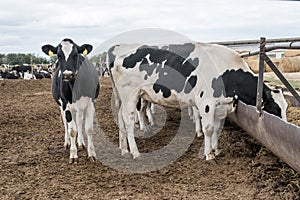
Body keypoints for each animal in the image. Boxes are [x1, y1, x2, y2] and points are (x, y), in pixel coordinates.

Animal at [106, 42, 288, 162]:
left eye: (286, 107)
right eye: (275, 108)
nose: (283, 126)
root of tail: (119, 58)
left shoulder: (221, 106)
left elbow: (216, 128)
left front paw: (215, 149)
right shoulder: (206, 103)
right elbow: (208, 129)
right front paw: (208, 154)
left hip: (124, 98)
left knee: (121, 119)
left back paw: (124, 149)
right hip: (131, 96)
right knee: (129, 121)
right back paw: (135, 152)